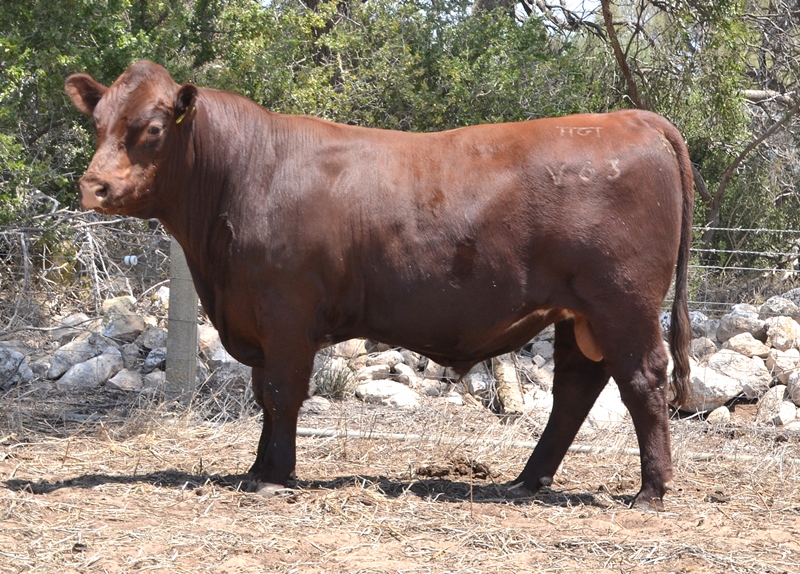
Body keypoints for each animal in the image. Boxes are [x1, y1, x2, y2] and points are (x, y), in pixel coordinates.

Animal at [66, 60, 693, 511]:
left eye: (151, 130)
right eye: (97, 125)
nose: (94, 186)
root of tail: (632, 118)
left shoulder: (286, 313)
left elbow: (282, 394)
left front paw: (275, 477)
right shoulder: (258, 321)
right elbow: (264, 396)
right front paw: (257, 470)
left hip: (622, 302)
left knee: (642, 380)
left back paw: (651, 491)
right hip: (578, 312)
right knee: (575, 391)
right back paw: (525, 481)